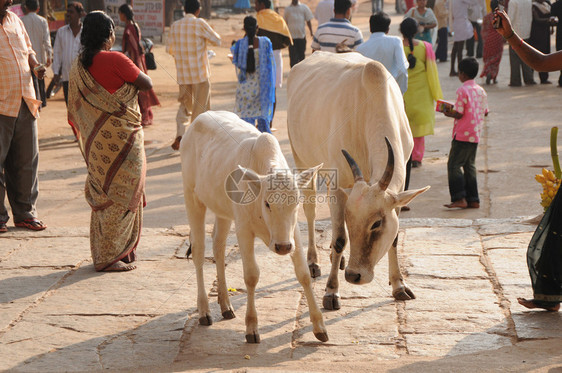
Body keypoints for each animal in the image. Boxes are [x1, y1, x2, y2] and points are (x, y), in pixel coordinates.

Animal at [179, 110, 328, 342]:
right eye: (267, 203)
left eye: (296, 202)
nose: (283, 247)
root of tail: (198, 119)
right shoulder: (244, 230)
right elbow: (251, 276)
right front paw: (251, 327)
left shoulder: (292, 232)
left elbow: (303, 273)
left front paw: (319, 325)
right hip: (192, 198)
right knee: (199, 252)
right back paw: (204, 310)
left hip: (222, 210)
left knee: (218, 246)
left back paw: (225, 305)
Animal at [286, 50, 426, 310]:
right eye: (351, 221)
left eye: (377, 223)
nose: (354, 275)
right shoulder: (339, 187)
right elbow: (340, 238)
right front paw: (331, 292)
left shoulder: (398, 191)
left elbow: (394, 238)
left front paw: (399, 285)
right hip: (302, 159)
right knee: (310, 211)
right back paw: (314, 261)